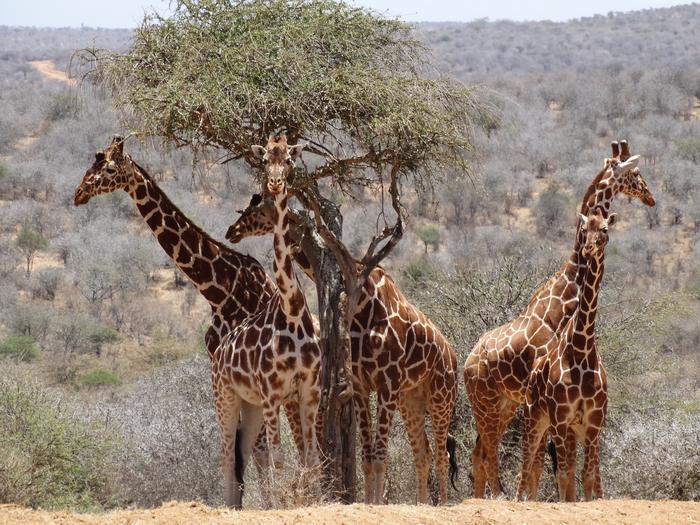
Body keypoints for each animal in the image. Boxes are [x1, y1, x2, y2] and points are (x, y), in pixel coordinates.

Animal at [74, 135, 305, 508]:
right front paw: (239, 503)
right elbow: (239, 447)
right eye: (91, 163)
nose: (78, 193)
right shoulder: (222, 365)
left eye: (108, 169)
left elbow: (257, 449)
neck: (219, 289)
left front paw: (267, 504)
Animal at [210, 134, 322, 506]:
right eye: (264, 160)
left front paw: (314, 501)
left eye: (288, 160)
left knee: (242, 453)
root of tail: (219, 353)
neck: (292, 309)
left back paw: (238, 507)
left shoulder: (309, 388)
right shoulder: (274, 393)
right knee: (226, 453)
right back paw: (230, 507)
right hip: (225, 395)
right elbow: (281, 457)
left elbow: (311, 456)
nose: (274, 183)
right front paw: (287, 504)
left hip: (251, 404)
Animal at [226, 187, 459, 505]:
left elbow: (381, 455)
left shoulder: (387, 384)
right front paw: (371, 503)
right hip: (412, 399)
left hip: (441, 395)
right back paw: (421, 504)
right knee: (422, 453)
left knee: (442, 454)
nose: (231, 231)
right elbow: (368, 456)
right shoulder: (362, 386)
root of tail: (453, 355)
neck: (365, 306)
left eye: (258, 210)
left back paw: (442, 505)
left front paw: (376, 504)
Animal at [517, 208, 615, 502]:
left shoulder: (593, 422)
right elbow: (563, 475)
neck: (582, 349)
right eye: (583, 228)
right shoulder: (560, 419)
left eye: (605, 229)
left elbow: (587, 475)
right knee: (527, 467)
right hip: (534, 420)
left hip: (570, 429)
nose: (588, 248)